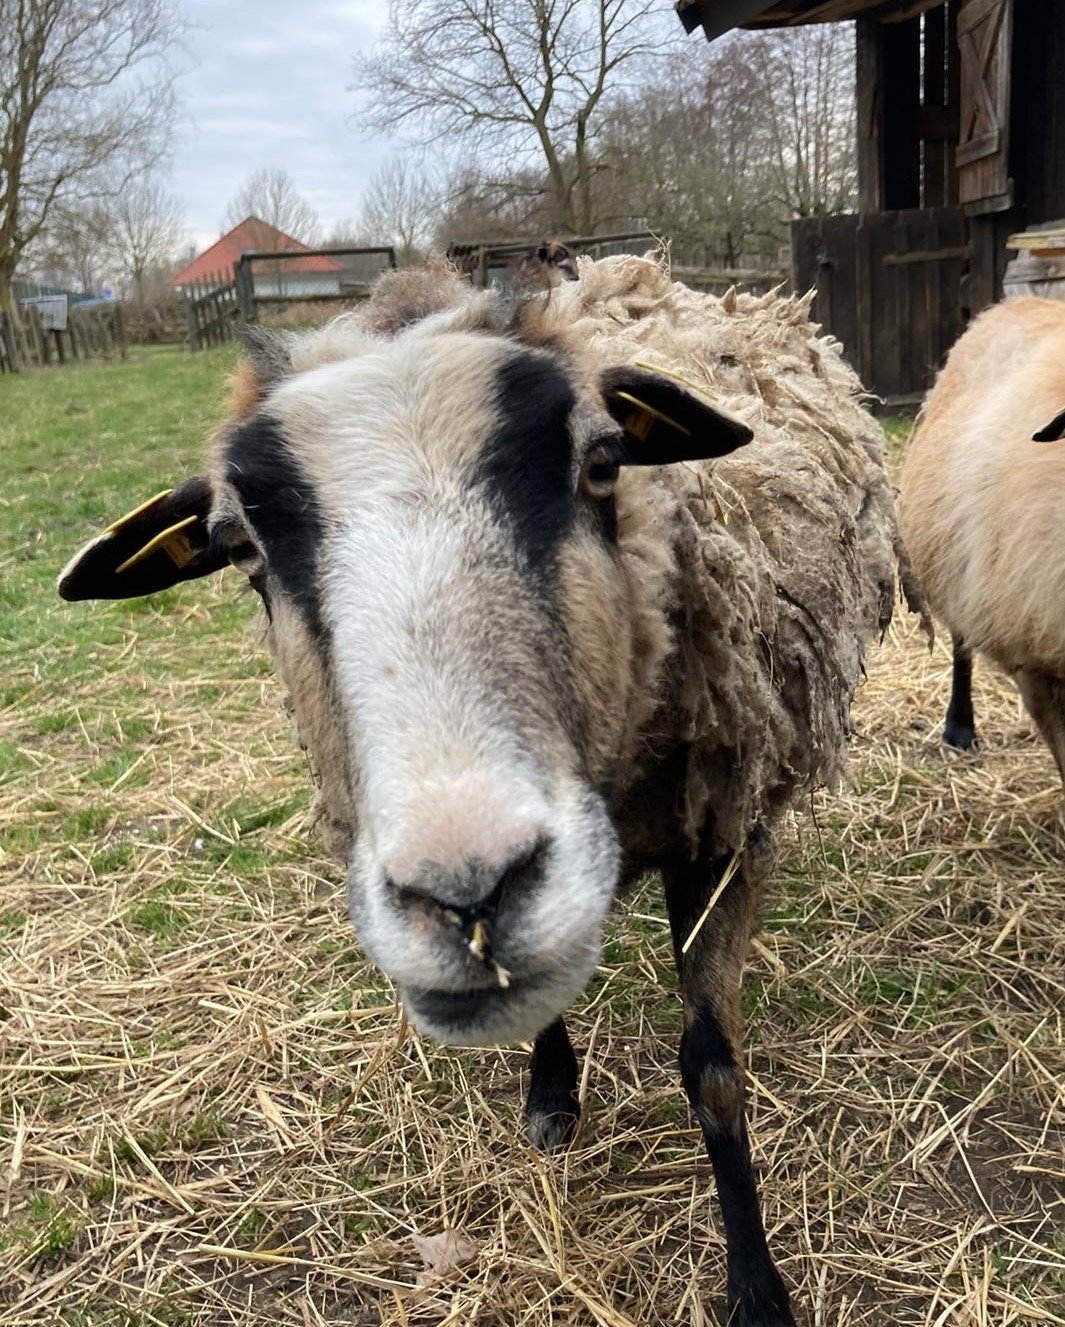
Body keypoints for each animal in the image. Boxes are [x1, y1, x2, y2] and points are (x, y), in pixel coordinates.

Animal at [58, 254, 898, 1327]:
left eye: (601, 464)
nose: (466, 894)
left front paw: (756, 1288)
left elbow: (712, 1072)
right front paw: (549, 1095)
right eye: (241, 550)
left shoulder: (723, 829)